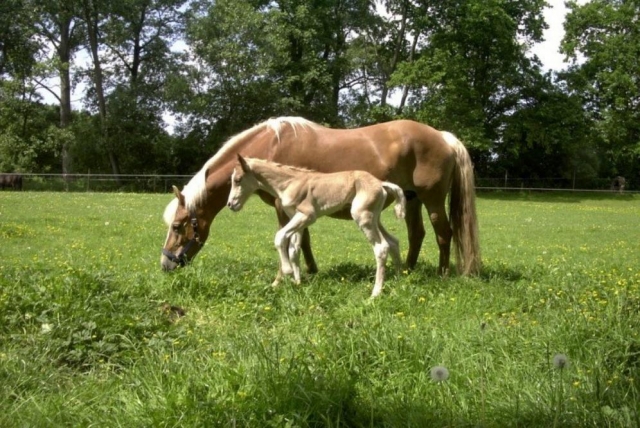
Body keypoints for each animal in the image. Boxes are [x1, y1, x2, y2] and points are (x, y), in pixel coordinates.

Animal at [162, 117, 480, 281]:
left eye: (177, 227)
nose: (166, 265)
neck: (270, 146)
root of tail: (443, 136)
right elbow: (303, 240)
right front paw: (309, 271)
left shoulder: (282, 207)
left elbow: (288, 240)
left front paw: (284, 277)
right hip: (412, 200)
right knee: (417, 234)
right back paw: (408, 271)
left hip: (433, 200)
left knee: (443, 233)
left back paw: (442, 274)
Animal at [227, 155, 406, 297]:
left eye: (238, 180)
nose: (230, 204)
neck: (290, 183)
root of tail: (381, 183)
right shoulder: (297, 219)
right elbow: (294, 250)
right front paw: (297, 283)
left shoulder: (307, 216)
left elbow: (280, 237)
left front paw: (287, 271)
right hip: (374, 218)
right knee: (393, 241)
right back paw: (399, 279)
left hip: (362, 217)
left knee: (381, 247)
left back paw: (375, 293)